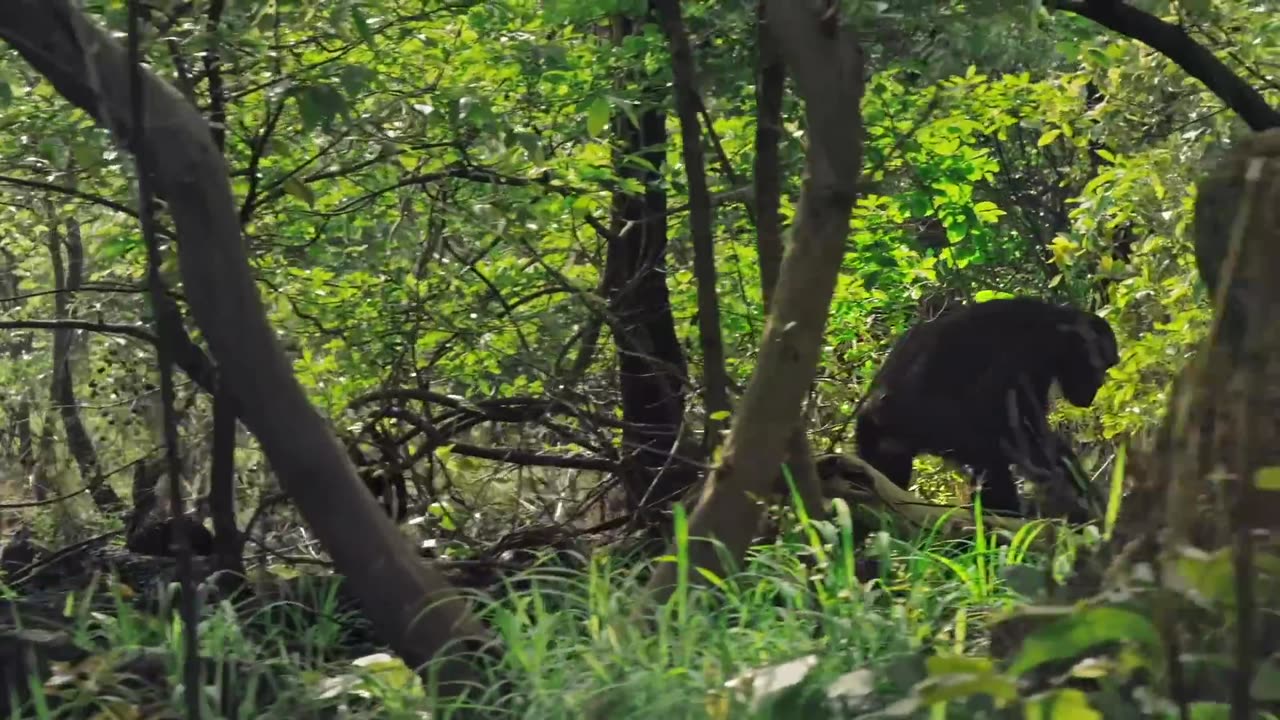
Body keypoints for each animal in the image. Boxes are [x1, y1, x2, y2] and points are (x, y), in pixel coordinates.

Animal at [855, 294, 1116, 517]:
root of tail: (869, 408)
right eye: (1100, 364)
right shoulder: (1027, 354)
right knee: (991, 454)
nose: (1099, 384)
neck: (1058, 334)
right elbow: (1015, 426)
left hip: (885, 447)